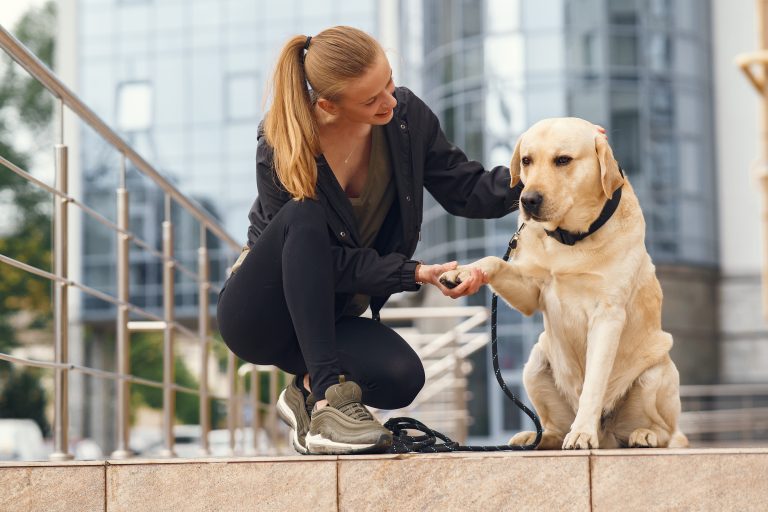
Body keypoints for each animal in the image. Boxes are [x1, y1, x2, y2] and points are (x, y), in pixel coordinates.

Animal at [440, 119, 688, 448]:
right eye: (526, 160)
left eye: (563, 160)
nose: (528, 200)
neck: (570, 238)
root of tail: (607, 436)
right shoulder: (532, 292)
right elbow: (493, 261)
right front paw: (465, 273)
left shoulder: (608, 315)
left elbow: (593, 383)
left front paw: (582, 432)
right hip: (535, 363)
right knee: (553, 429)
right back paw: (534, 436)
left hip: (656, 373)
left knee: (666, 431)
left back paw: (642, 434)